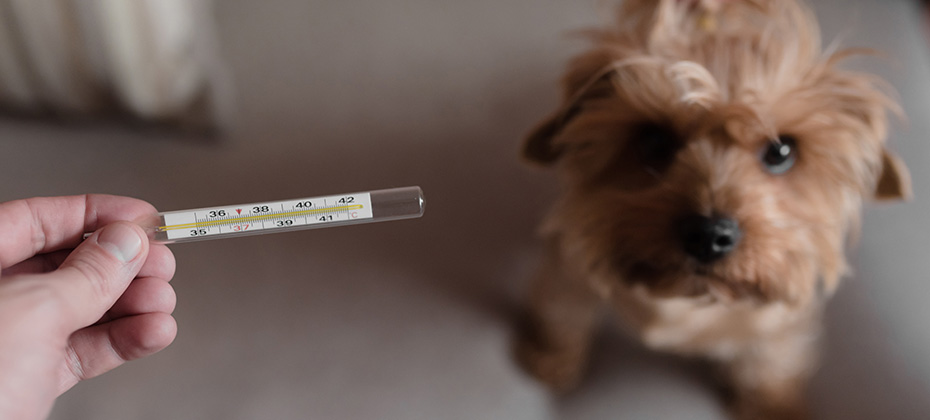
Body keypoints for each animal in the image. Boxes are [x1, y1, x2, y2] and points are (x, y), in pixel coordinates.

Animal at [520, 1, 908, 418]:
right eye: (653, 141)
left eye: (781, 151)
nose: (707, 235)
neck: (689, 299)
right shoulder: (572, 263)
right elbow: (563, 310)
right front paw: (551, 357)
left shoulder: (782, 315)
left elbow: (773, 361)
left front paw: (773, 406)